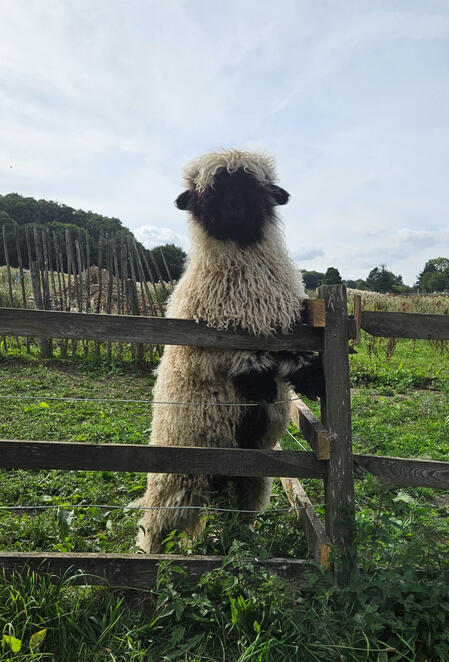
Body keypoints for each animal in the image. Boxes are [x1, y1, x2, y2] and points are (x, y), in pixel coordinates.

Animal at [135, 149, 323, 553]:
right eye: (209, 192)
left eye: (255, 188)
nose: (234, 209)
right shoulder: (204, 338)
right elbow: (240, 360)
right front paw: (258, 379)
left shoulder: (288, 322)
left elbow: (293, 359)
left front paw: (312, 377)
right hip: (179, 478)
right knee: (156, 524)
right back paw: (148, 555)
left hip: (250, 479)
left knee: (237, 517)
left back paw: (239, 545)